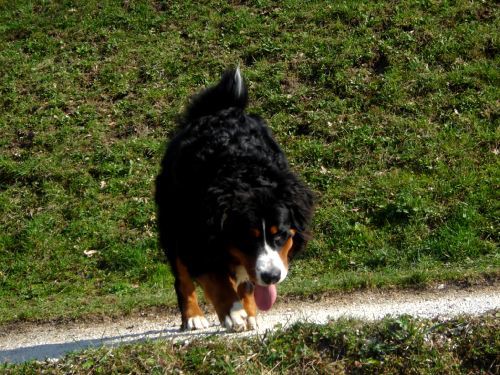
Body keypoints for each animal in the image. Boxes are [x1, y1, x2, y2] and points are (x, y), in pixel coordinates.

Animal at [155, 68, 312, 332]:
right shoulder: (196, 237)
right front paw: (233, 312)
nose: (272, 276)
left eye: (281, 235)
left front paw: (248, 312)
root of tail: (218, 109)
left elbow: (245, 282)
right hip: (172, 219)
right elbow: (215, 279)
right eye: (248, 238)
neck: (244, 173)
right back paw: (193, 316)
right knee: (182, 276)